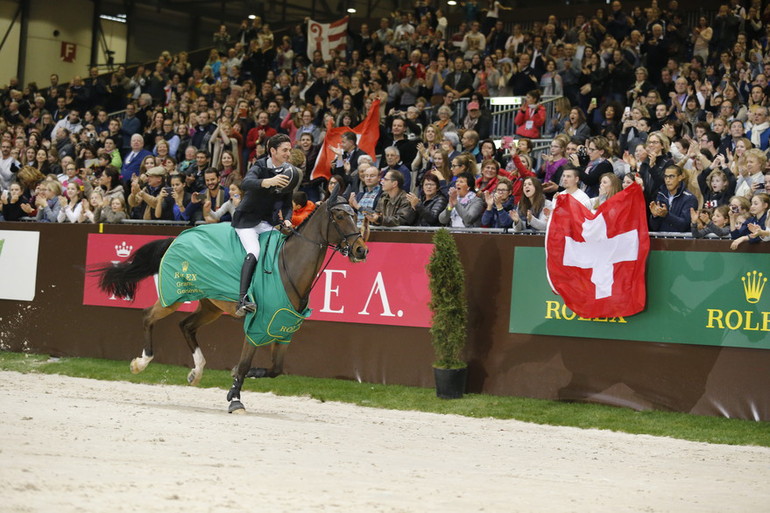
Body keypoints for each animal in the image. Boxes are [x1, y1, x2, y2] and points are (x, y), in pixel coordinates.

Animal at [94, 188, 368, 412]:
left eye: (355, 214)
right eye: (340, 216)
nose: (361, 250)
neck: (288, 265)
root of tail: (178, 237)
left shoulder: (283, 328)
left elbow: (276, 370)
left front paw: (241, 375)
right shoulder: (257, 325)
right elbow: (245, 364)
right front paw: (235, 398)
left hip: (210, 306)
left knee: (186, 326)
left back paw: (196, 371)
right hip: (174, 295)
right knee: (148, 316)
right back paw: (141, 363)